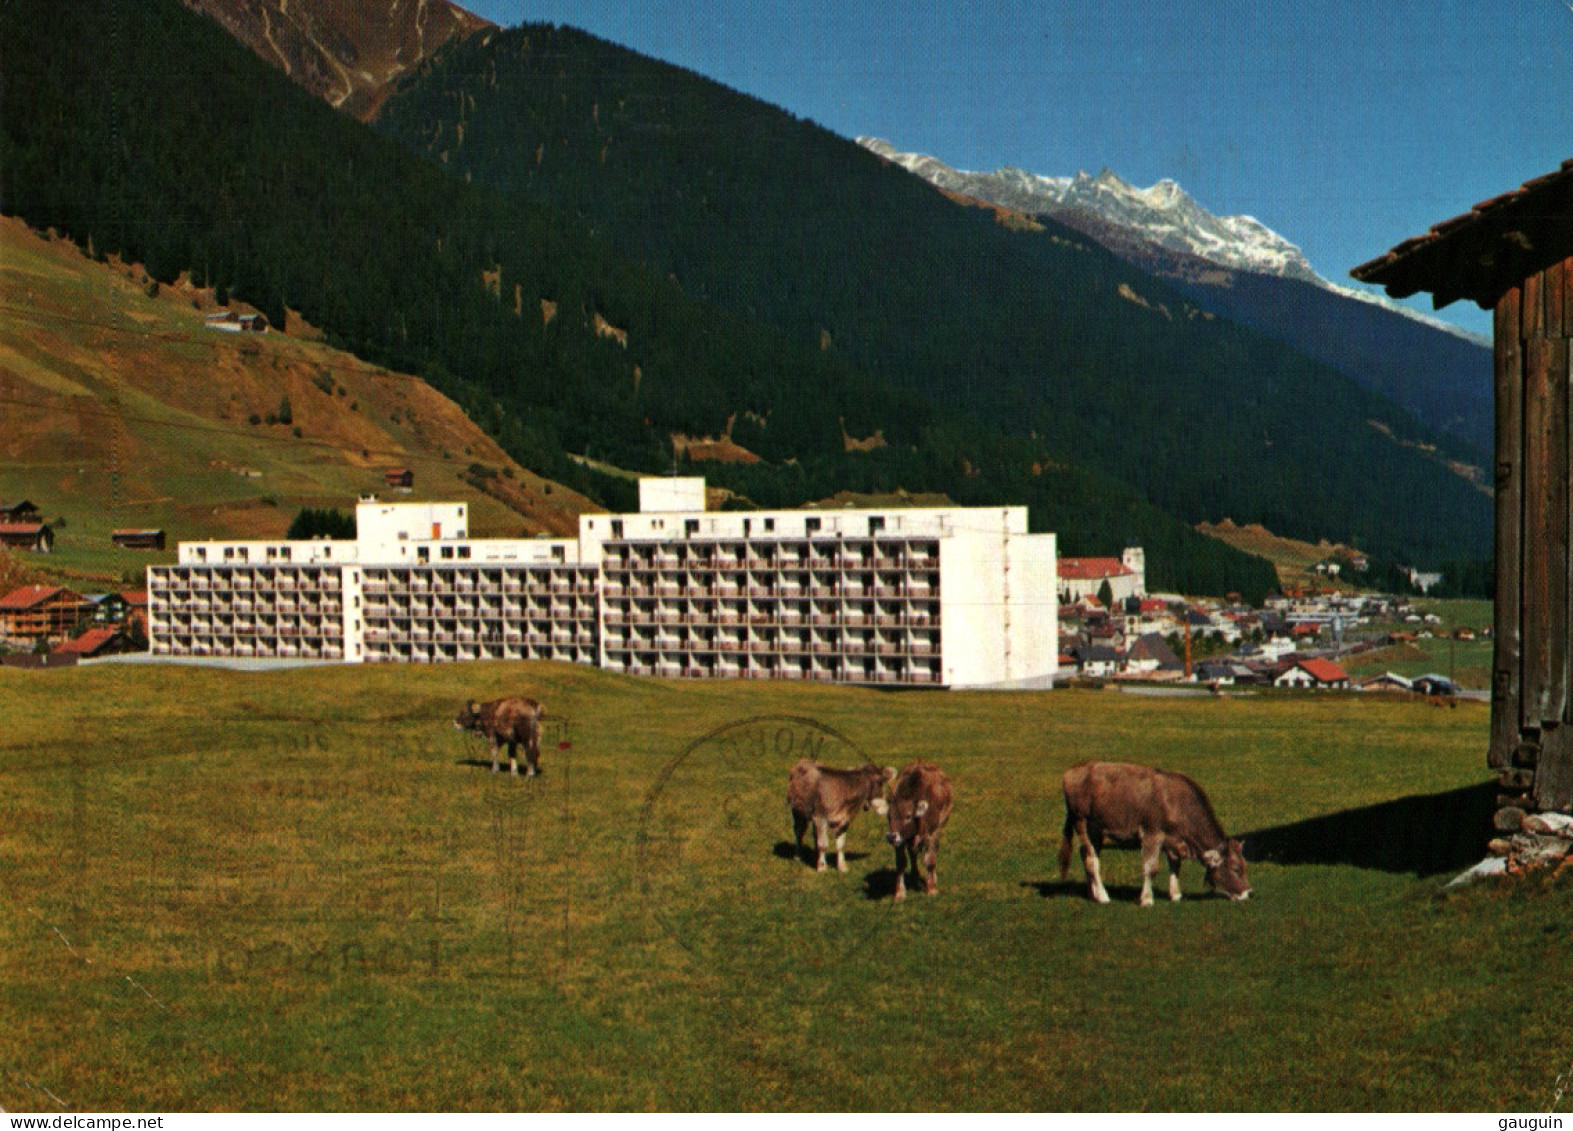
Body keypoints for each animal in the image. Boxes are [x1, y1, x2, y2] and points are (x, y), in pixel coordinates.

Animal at [868, 761, 950, 899]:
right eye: (889, 816)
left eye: (908, 816)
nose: (891, 836)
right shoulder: (900, 840)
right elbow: (901, 863)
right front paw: (900, 892)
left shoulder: (932, 833)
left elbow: (930, 860)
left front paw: (931, 888)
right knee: (913, 853)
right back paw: (915, 873)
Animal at [1057, 761, 1252, 912]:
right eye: (1235, 869)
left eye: (1245, 866)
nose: (1249, 892)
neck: (1174, 801)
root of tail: (1073, 771)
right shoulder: (1152, 834)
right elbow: (1151, 868)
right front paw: (1147, 899)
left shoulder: (1172, 840)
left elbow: (1175, 864)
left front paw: (1176, 894)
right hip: (1081, 821)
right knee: (1091, 859)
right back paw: (1103, 896)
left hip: (1096, 829)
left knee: (1087, 856)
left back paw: (1092, 893)